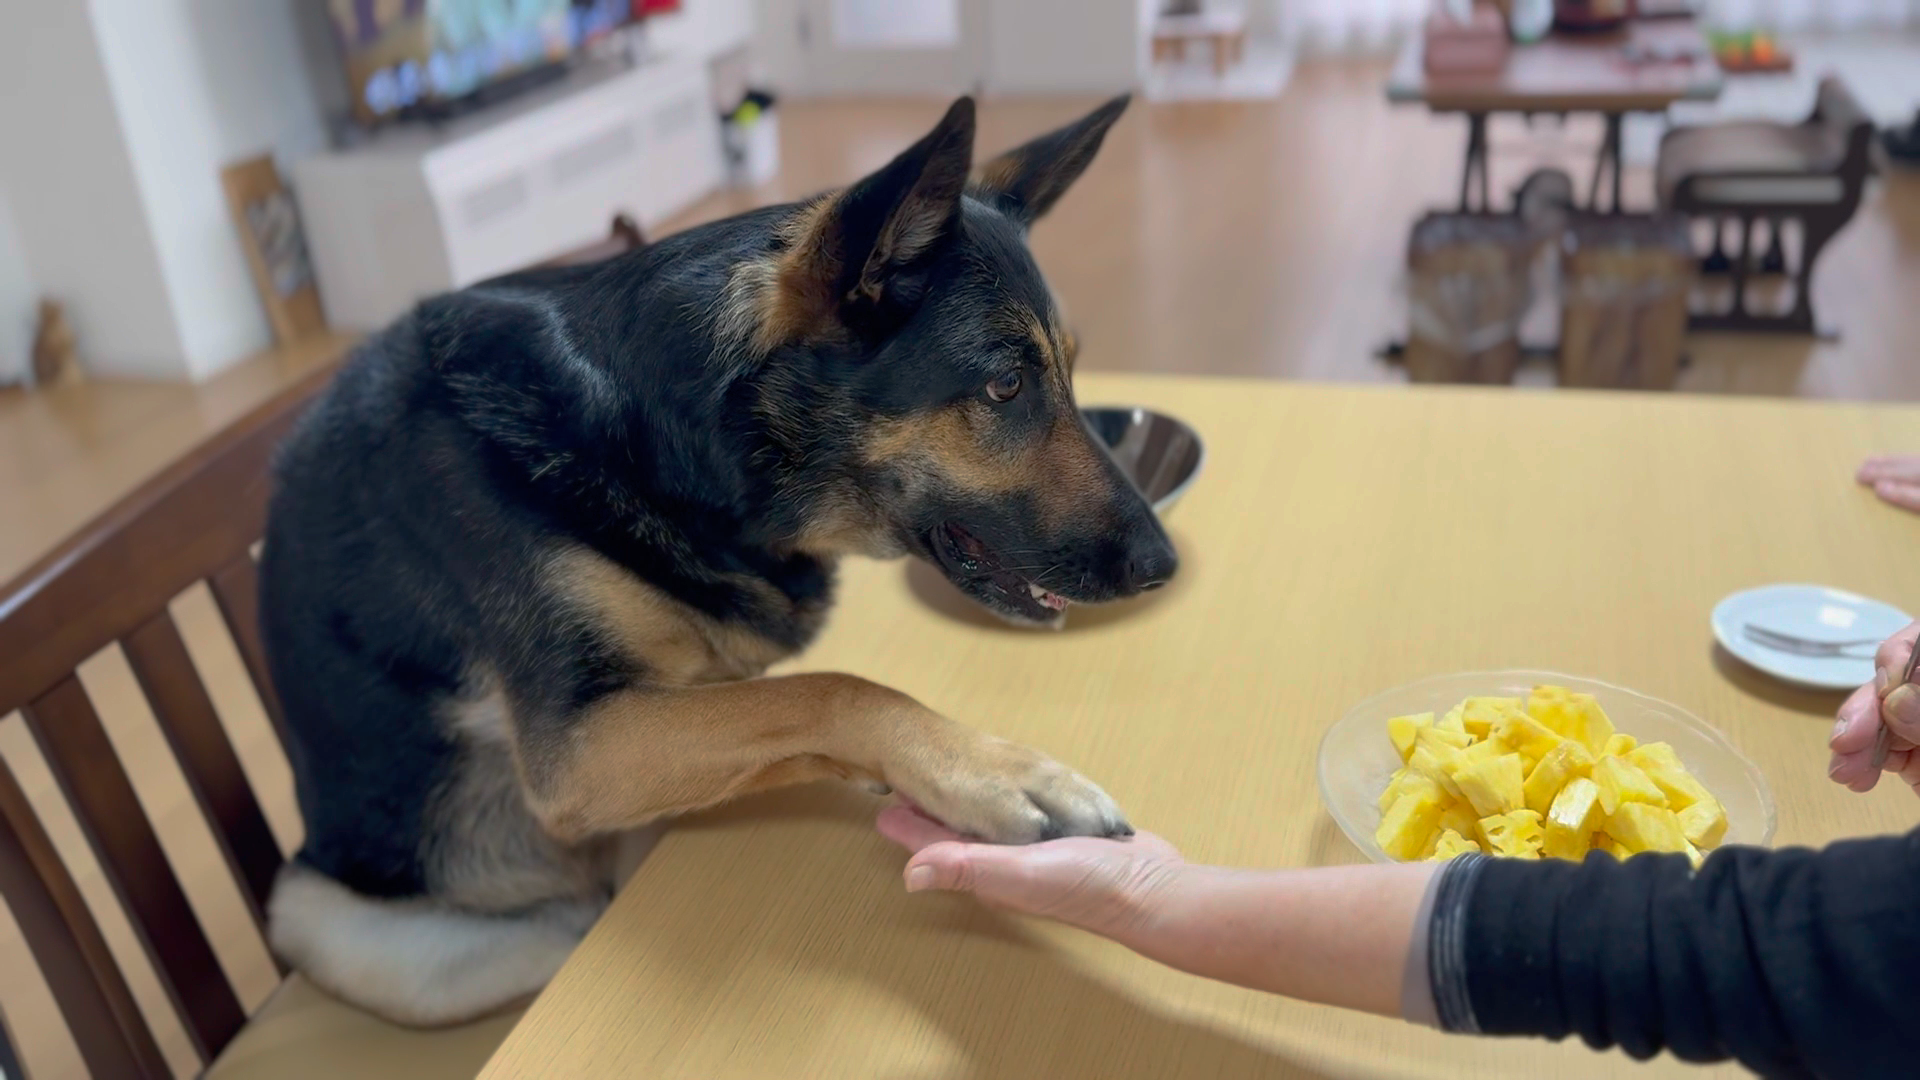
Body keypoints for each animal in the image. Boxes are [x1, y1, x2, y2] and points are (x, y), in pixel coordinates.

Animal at [259, 95, 1176, 1026]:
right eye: (1003, 387)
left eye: (1067, 373)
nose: (1163, 564)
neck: (664, 437)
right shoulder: (577, 748)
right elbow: (830, 689)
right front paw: (989, 769)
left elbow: (775, 707)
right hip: (329, 915)